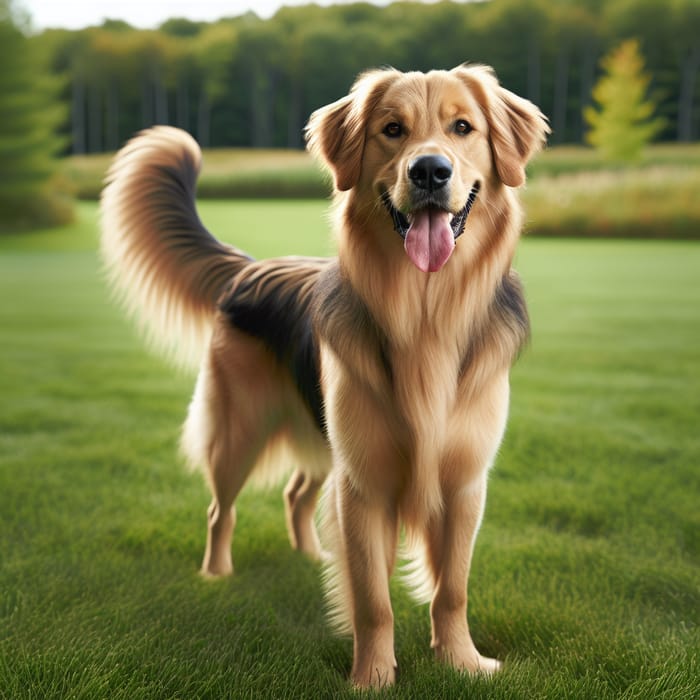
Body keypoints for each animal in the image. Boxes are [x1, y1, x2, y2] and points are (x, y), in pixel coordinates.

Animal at [101, 63, 548, 688]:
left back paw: (312, 556)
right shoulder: (362, 483)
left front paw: (462, 662)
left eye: (463, 127)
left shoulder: (464, 484)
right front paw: (373, 679)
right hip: (240, 433)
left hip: (319, 439)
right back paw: (216, 575)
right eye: (392, 129)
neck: (425, 313)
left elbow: (452, 589)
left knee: (296, 494)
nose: (429, 171)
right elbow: (373, 597)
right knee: (220, 510)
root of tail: (251, 268)